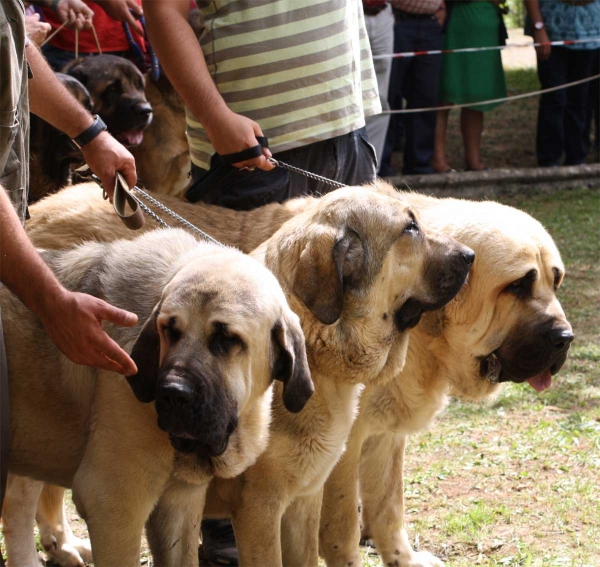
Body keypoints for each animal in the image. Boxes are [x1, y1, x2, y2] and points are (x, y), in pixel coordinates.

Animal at [316, 194, 576, 567]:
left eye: (555, 282)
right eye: (517, 286)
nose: (565, 339)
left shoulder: (383, 435)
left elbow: (388, 506)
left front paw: (402, 559)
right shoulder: (343, 448)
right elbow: (341, 528)